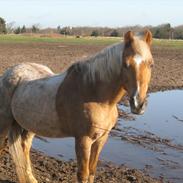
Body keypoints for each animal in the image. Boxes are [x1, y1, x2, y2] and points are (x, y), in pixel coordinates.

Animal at [0, 30, 154, 183]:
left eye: (151, 64)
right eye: (126, 64)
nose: (138, 104)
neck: (97, 97)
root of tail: (10, 72)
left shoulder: (101, 139)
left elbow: (92, 171)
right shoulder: (83, 140)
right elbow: (83, 174)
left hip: (30, 125)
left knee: (25, 147)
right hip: (5, 123)